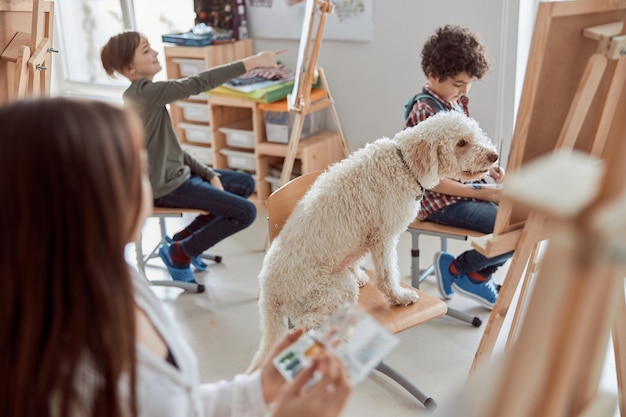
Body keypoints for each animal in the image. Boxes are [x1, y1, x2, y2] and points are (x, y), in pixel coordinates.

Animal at [249, 110, 498, 370]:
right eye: (461, 143)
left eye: (476, 134)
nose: (494, 156)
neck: (403, 164)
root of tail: (268, 292)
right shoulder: (384, 237)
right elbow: (387, 275)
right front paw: (399, 297)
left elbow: (358, 261)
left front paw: (360, 274)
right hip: (333, 290)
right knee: (306, 325)